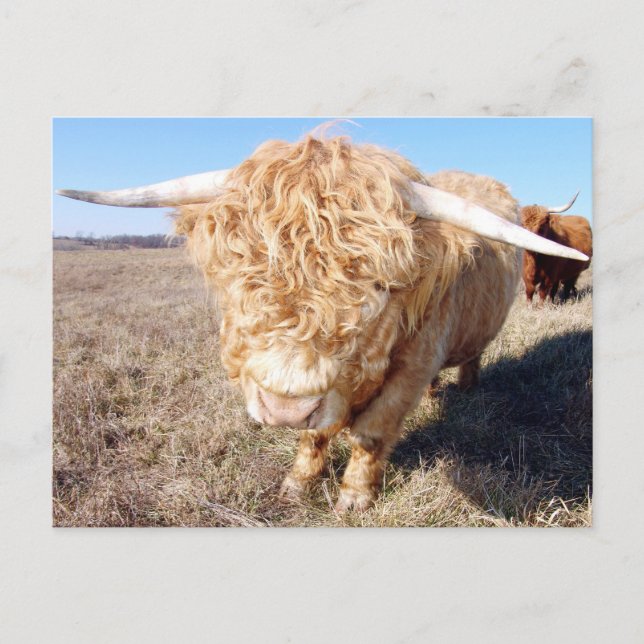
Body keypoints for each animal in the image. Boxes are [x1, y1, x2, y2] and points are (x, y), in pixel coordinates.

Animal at [57, 134, 588, 512]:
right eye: (237, 273)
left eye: (381, 286)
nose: (284, 407)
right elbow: (314, 434)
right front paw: (298, 483)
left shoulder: (412, 366)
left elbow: (371, 432)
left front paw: (354, 495)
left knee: (473, 355)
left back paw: (467, 388)